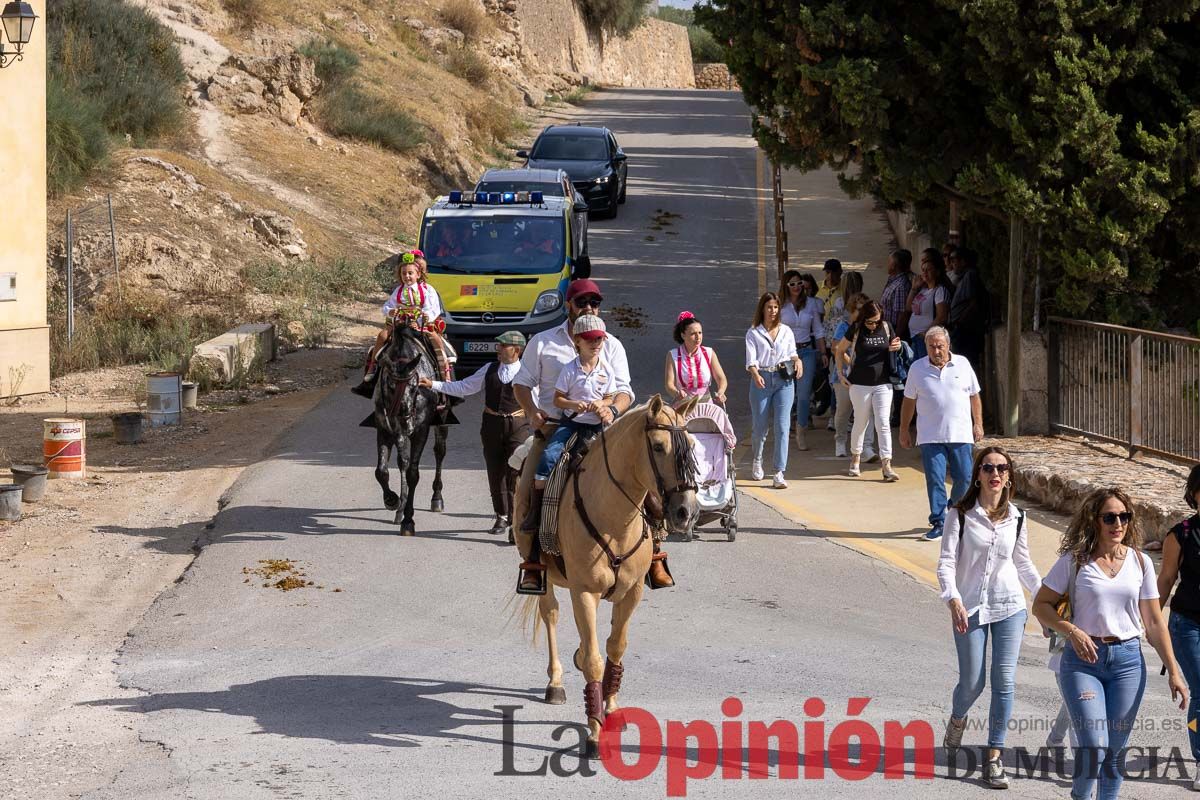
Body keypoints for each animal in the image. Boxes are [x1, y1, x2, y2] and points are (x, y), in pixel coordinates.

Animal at [367, 321, 448, 534]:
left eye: (415, 385)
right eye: (390, 385)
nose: (404, 416)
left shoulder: (420, 431)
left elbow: (413, 473)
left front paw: (408, 520)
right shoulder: (385, 428)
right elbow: (382, 470)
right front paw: (392, 500)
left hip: (442, 421)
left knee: (439, 451)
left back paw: (437, 498)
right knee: (402, 462)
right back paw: (399, 509)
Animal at [518, 398, 700, 762]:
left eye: (691, 446)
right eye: (658, 446)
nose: (686, 512)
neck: (615, 517)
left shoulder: (632, 592)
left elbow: (616, 647)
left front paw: (612, 710)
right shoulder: (583, 591)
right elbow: (593, 659)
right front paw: (594, 732)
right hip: (545, 574)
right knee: (551, 613)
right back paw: (555, 682)